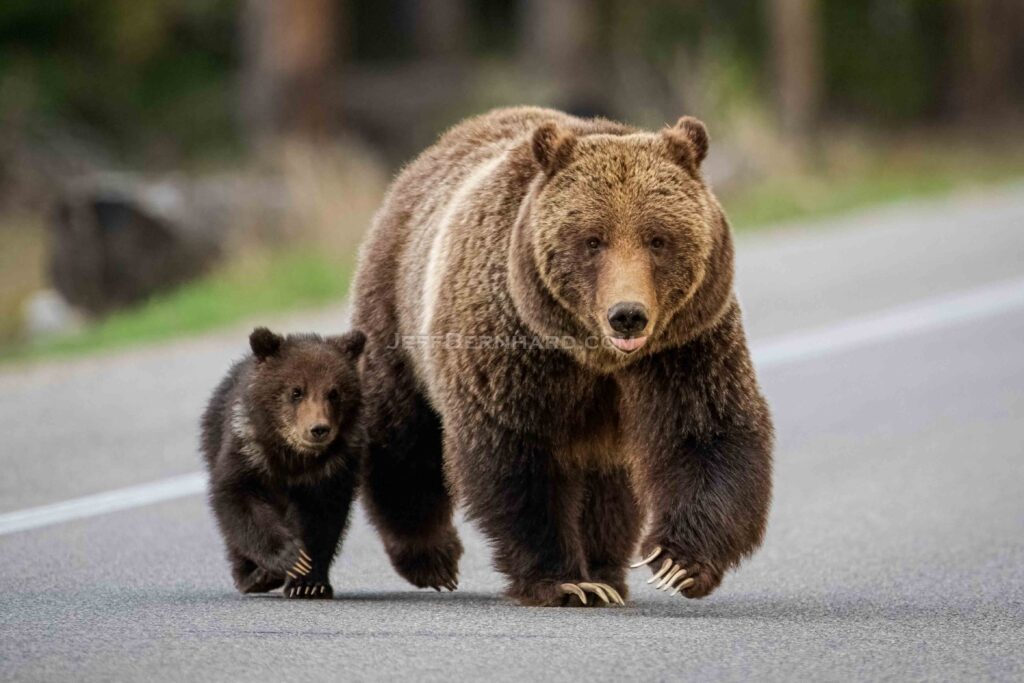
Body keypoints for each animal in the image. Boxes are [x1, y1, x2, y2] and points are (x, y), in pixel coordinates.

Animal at [201, 326, 366, 599]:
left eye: (334, 393)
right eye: (296, 391)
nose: (318, 429)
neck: (293, 457)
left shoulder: (330, 470)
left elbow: (321, 519)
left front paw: (308, 583)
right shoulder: (248, 450)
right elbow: (237, 498)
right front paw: (288, 557)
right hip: (213, 437)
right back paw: (253, 576)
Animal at [351, 106, 773, 606]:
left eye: (657, 239)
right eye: (593, 240)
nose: (627, 316)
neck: (594, 356)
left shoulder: (685, 342)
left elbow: (705, 431)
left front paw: (677, 562)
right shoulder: (514, 346)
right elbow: (518, 457)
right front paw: (563, 580)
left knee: (608, 481)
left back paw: (608, 571)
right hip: (397, 310)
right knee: (402, 434)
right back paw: (431, 558)